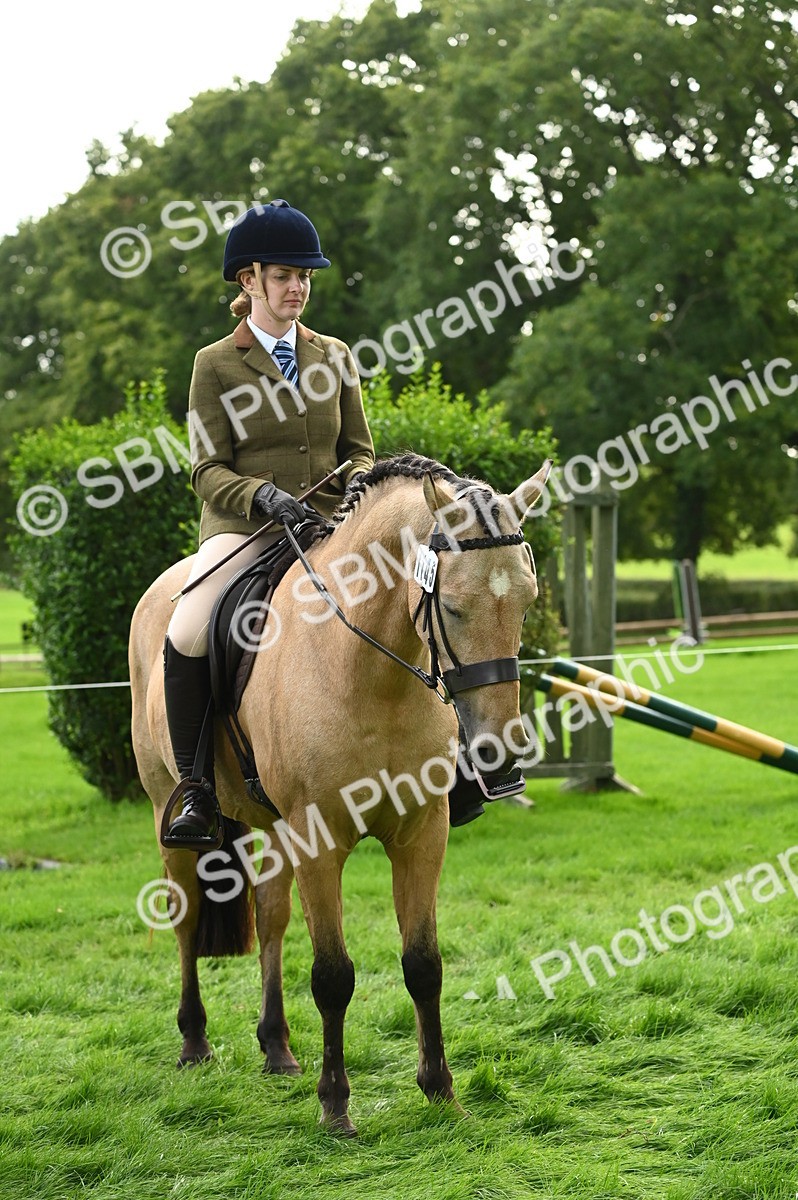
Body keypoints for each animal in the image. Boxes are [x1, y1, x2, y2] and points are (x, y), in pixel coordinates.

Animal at [128, 453, 550, 1135]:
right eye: (453, 607)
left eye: (527, 603)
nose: (499, 751)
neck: (371, 673)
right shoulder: (318, 841)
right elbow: (332, 975)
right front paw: (335, 1105)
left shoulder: (421, 834)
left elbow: (423, 965)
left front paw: (441, 1091)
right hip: (171, 811)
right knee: (187, 917)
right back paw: (194, 1042)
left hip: (272, 827)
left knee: (270, 918)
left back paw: (277, 1048)